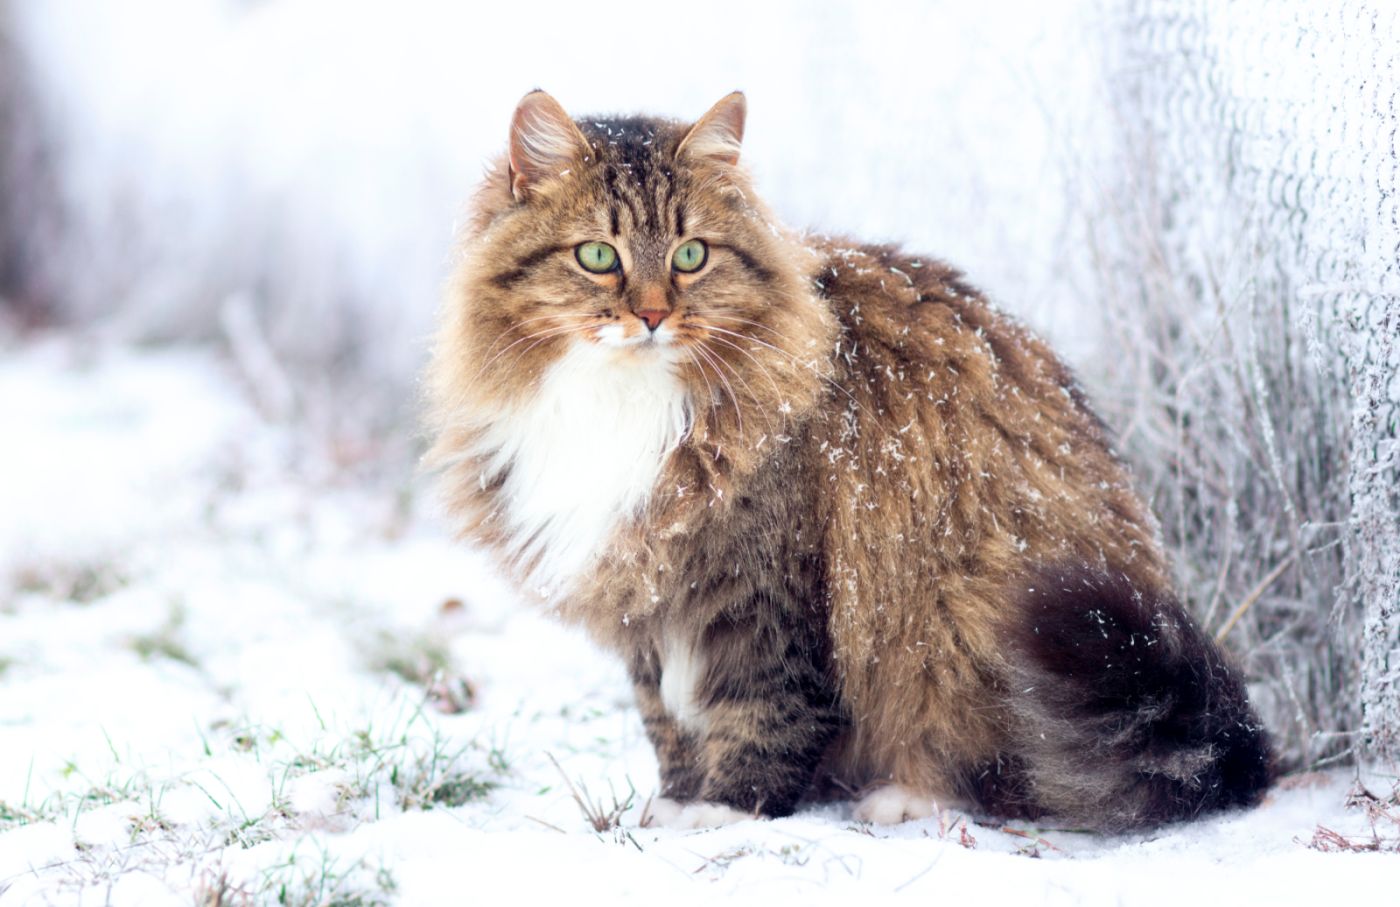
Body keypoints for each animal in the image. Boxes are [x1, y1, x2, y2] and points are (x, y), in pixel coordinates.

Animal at [420, 90, 1276, 828]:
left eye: (691, 254)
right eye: (599, 255)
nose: (655, 314)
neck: (621, 400)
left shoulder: (765, 584)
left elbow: (763, 709)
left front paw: (725, 810)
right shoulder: (646, 592)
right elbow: (666, 716)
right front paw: (676, 800)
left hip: (968, 608)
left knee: (998, 771)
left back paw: (901, 796)